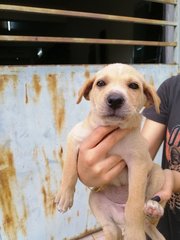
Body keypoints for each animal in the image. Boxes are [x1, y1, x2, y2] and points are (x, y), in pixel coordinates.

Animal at [55, 63, 167, 240]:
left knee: (146, 213)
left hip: (157, 173)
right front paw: (64, 196)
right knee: (112, 229)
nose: (114, 99)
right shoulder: (75, 136)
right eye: (100, 83)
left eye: (133, 85)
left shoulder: (138, 163)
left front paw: (135, 234)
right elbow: (69, 169)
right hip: (95, 199)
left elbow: (134, 203)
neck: (111, 128)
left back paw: (152, 207)